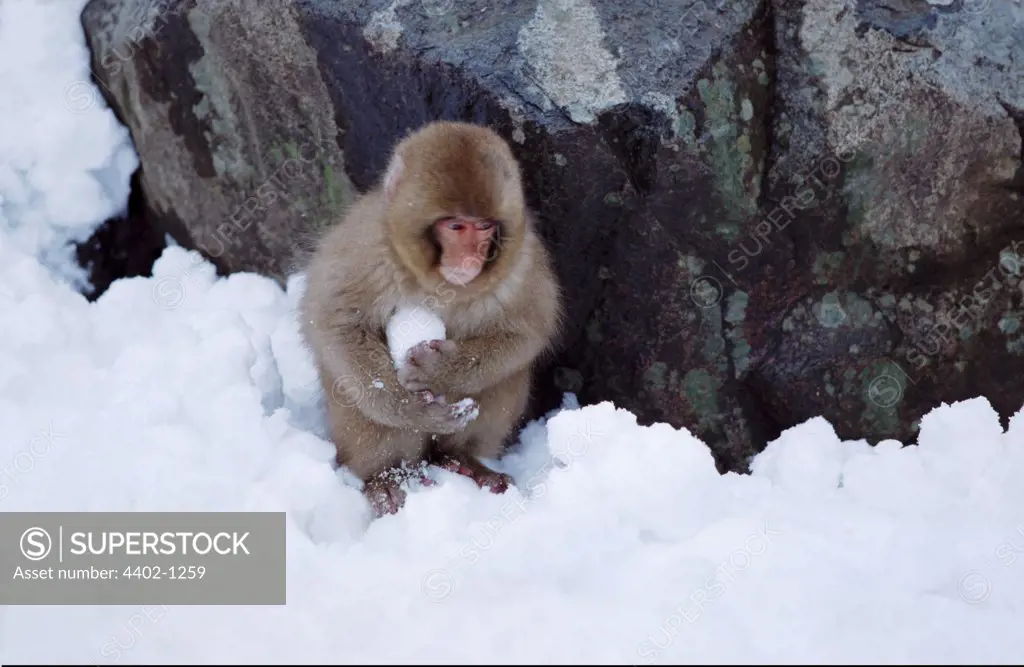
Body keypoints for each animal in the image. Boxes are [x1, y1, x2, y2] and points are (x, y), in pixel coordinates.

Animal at [299, 119, 565, 516]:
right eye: (455, 226)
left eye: (484, 227)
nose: (471, 258)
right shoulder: (366, 248)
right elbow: (336, 323)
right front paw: (413, 411)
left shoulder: (524, 261)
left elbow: (523, 333)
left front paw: (439, 370)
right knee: (355, 392)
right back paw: (386, 478)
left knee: (505, 377)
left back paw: (462, 461)